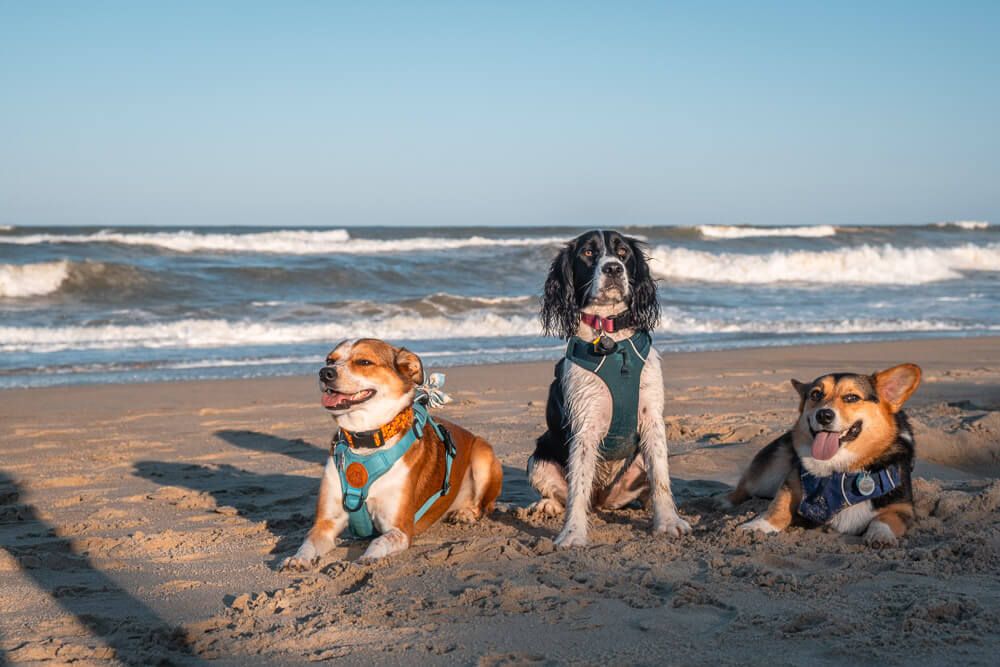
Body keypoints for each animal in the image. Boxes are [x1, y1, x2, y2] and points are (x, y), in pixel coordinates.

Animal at [280, 340, 500, 568]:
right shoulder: (326, 523)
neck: (365, 443)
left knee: (485, 506)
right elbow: (308, 541)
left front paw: (367, 558)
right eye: (330, 360)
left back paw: (465, 514)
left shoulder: (400, 529)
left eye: (364, 362)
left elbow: (378, 541)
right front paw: (297, 559)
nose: (325, 373)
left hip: (482, 453)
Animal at [528, 230, 692, 548]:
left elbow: (661, 478)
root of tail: (602, 500)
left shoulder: (652, 418)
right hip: (538, 458)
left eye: (623, 252)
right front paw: (573, 534)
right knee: (563, 494)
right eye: (588, 253)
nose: (614, 268)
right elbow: (577, 488)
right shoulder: (584, 424)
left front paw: (668, 522)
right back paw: (545, 506)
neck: (611, 340)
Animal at [732, 366, 916, 548]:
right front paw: (756, 526)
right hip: (766, 475)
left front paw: (880, 535)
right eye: (815, 394)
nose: (823, 415)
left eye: (852, 398)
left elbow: (885, 518)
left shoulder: (903, 507)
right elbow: (777, 507)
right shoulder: (791, 481)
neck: (838, 469)